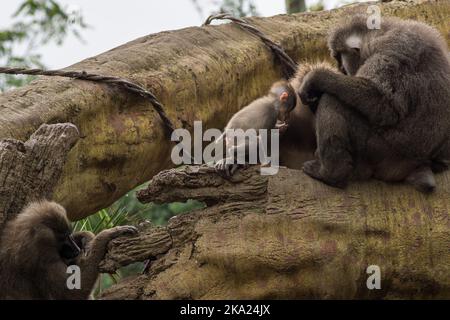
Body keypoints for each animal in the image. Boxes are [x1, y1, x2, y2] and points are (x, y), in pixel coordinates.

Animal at [0, 201, 137, 298]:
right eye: (64, 237)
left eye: (69, 235)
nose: (76, 250)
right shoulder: (44, 262)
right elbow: (72, 293)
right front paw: (106, 235)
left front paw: (86, 238)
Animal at [298, 15, 450, 192]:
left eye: (340, 59)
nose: (341, 68)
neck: (384, 32)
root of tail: (414, 163)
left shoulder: (393, 45)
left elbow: (384, 104)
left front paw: (316, 78)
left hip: (379, 152)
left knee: (332, 100)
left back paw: (331, 173)